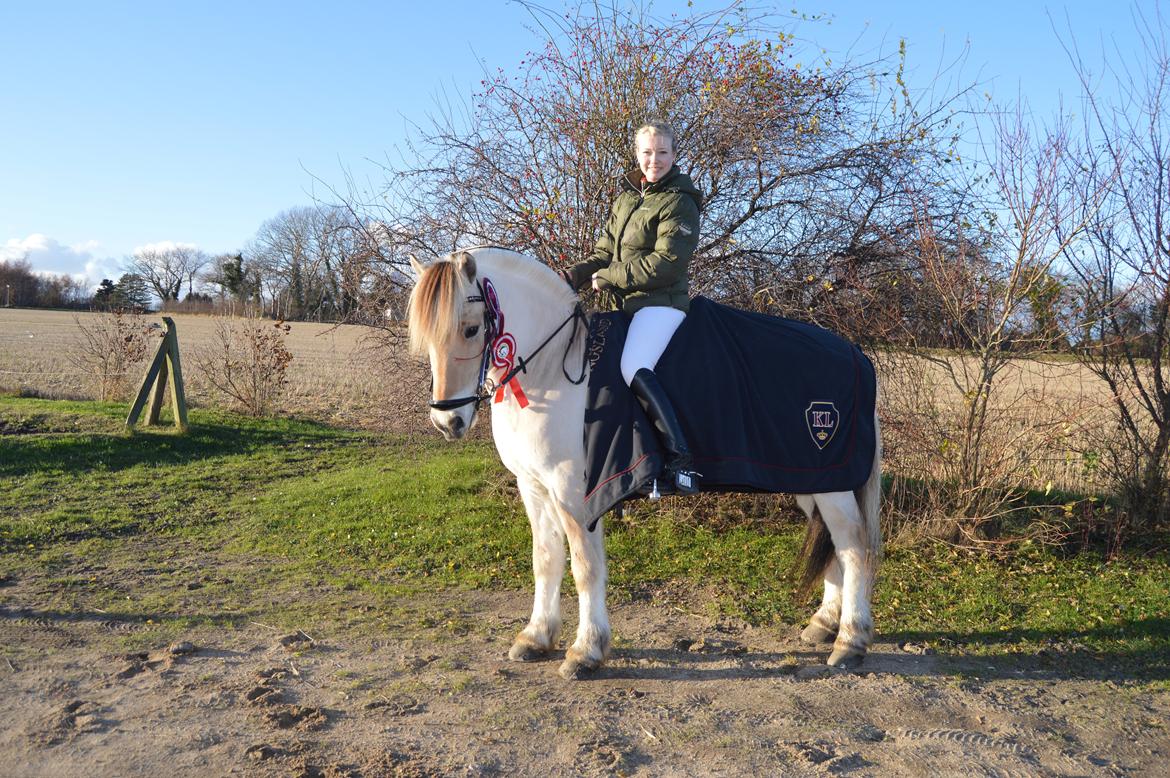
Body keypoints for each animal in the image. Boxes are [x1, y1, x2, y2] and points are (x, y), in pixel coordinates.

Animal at [407, 245, 879, 678]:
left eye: (470, 329)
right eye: (426, 338)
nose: (447, 421)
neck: (552, 369)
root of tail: (854, 352)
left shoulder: (575, 492)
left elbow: (585, 567)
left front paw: (586, 651)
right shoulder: (534, 487)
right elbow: (545, 559)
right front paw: (537, 637)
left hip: (833, 482)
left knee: (854, 545)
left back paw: (850, 641)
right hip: (812, 479)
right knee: (834, 542)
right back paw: (824, 624)